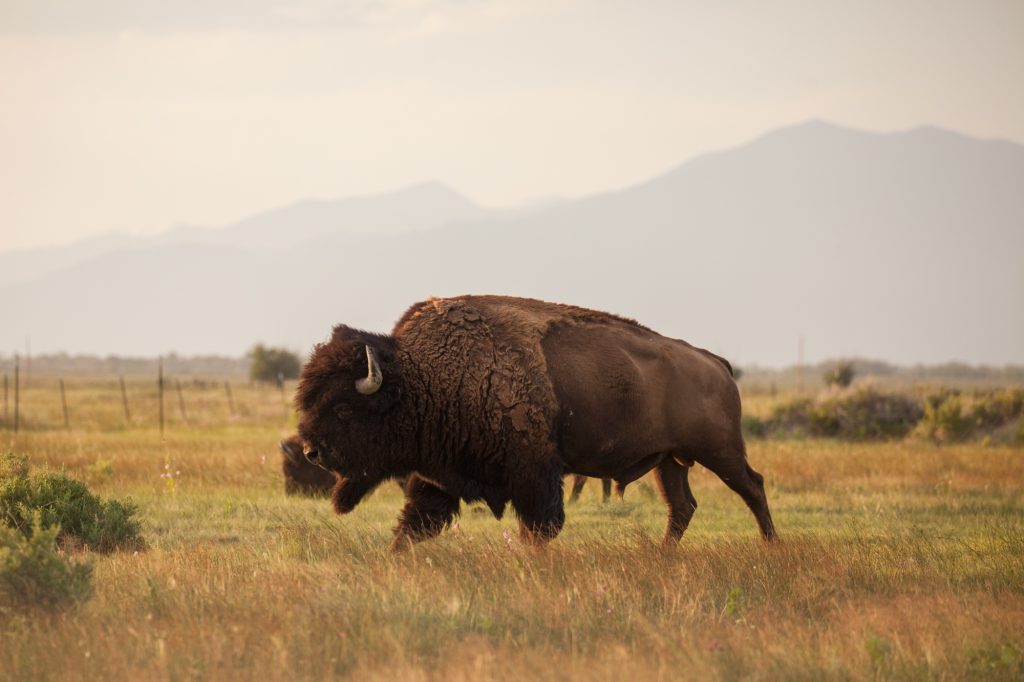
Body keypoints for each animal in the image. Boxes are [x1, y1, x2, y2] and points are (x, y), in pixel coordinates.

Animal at [296, 292, 774, 548]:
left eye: (343, 407)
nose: (311, 451)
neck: (422, 377)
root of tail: (715, 362)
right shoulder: (438, 479)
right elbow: (414, 525)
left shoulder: (536, 474)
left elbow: (539, 529)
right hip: (669, 460)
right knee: (682, 507)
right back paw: (662, 556)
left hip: (718, 451)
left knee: (752, 486)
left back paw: (771, 545)